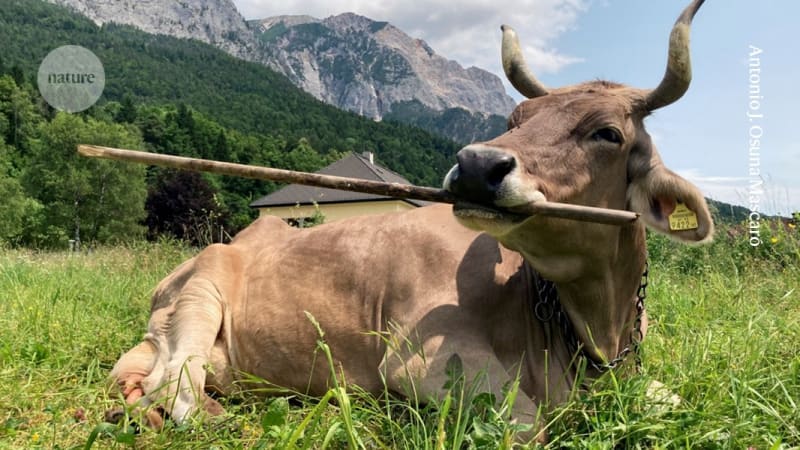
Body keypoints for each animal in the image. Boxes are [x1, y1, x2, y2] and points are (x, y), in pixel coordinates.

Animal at [108, 0, 712, 443]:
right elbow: (529, 427)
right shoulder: (422, 361)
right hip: (202, 292)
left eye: (607, 133)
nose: (476, 165)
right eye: (516, 117)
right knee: (175, 387)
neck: (594, 333)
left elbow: (676, 397)